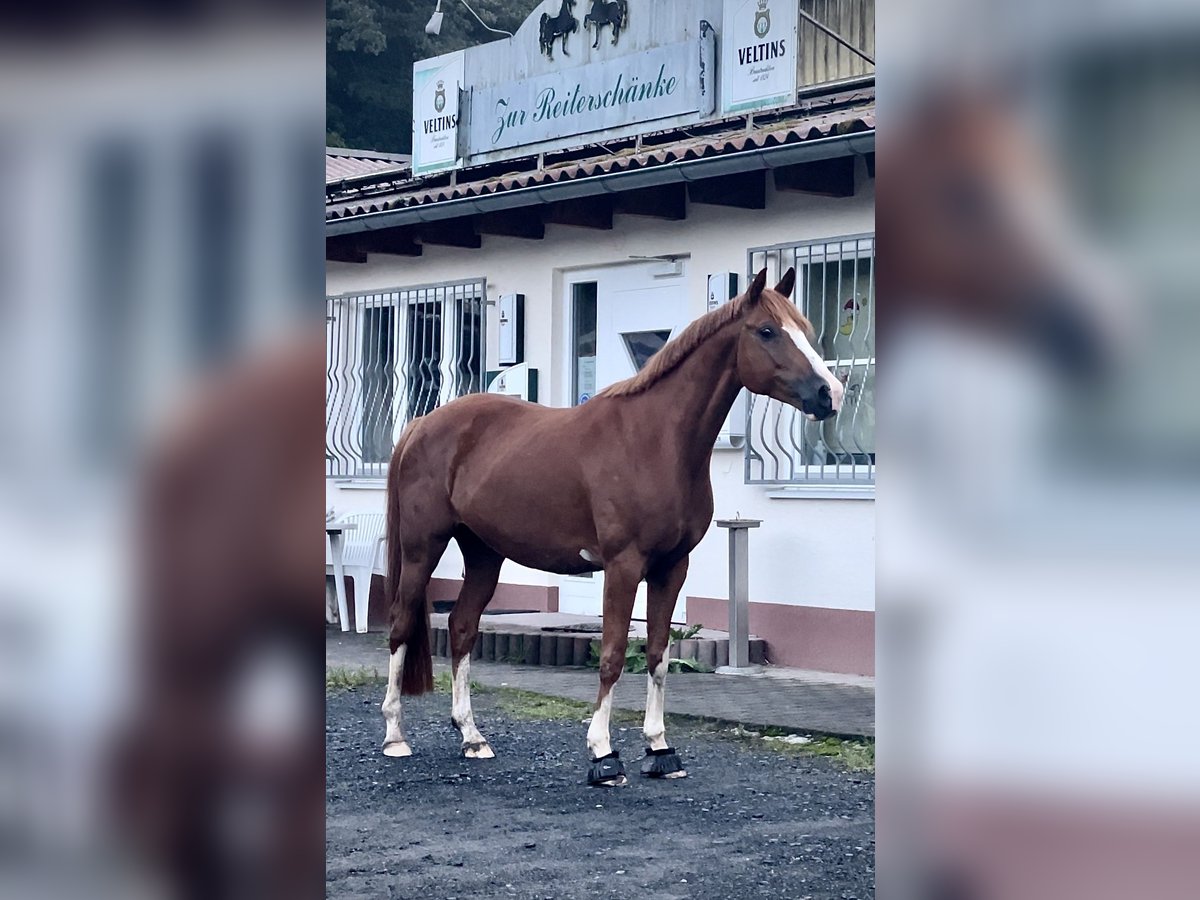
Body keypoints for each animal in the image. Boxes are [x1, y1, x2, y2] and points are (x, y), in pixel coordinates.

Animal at [379, 266, 840, 782]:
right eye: (766, 331)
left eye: (805, 330)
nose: (831, 394)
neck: (655, 441)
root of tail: (420, 425)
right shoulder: (623, 566)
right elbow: (613, 654)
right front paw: (603, 753)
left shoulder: (672, 567)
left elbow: (657, 655)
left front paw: (660, 749)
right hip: (423, 546)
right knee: (400, 625)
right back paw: (395, 736)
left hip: (483, 553)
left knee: (461, 627)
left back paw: (472, 737)